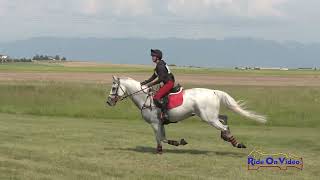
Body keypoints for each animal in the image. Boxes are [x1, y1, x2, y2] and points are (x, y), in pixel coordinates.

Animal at [106, 75, 266, 153]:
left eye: (114, 88)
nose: (108, 102)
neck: (145, 97)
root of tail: (214, 92)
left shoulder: (155, 123)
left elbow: (160, 138)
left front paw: (160, 150)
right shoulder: (160, 123)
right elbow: (163, 138)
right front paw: (179, 142)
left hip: (208, 118)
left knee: (224, 127)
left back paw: (236, 143)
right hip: (211, 116)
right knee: (224, 119)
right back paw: (227, 138)